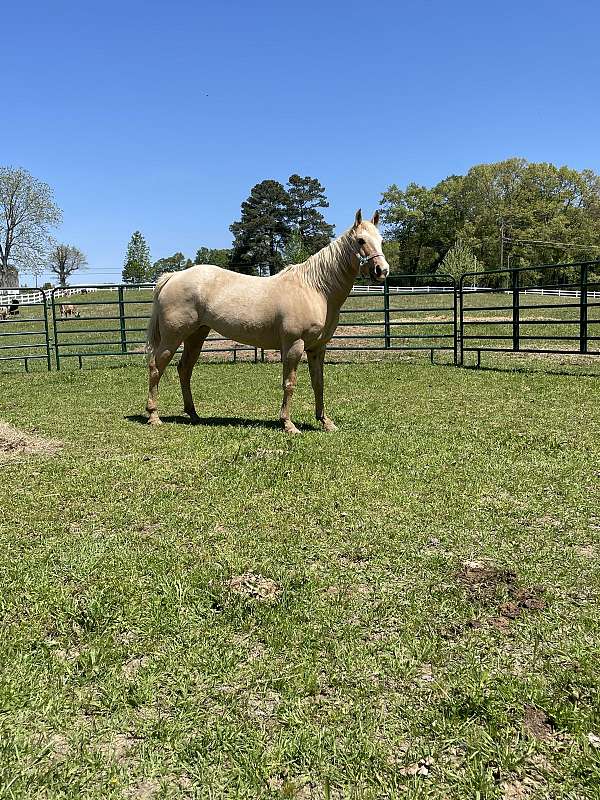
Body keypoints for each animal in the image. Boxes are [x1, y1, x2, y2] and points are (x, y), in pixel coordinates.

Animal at [144, 206, 390, 432]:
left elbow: (318, 383)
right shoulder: (294, 345)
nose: (382, 270)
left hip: (196, 336)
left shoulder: (317, 348)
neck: (315, 289)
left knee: (184, 369)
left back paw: (194, 414)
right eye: (360, 240)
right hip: (172, 337)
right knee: (156, 367)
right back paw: (154, 416)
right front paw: (288, 424)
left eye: (381, 240)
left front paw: (325, 422)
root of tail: (173, 276)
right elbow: (290, 383)